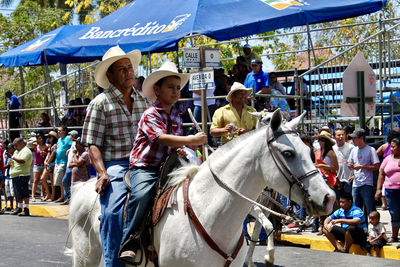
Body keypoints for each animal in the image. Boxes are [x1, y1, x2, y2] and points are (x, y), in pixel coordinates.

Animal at [69, 110, 334, 266]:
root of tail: (83, 186)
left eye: (309, 150)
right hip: (85, 255)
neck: (210, 213)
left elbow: (264, 226)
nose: (328, 197)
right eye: (288, 153)